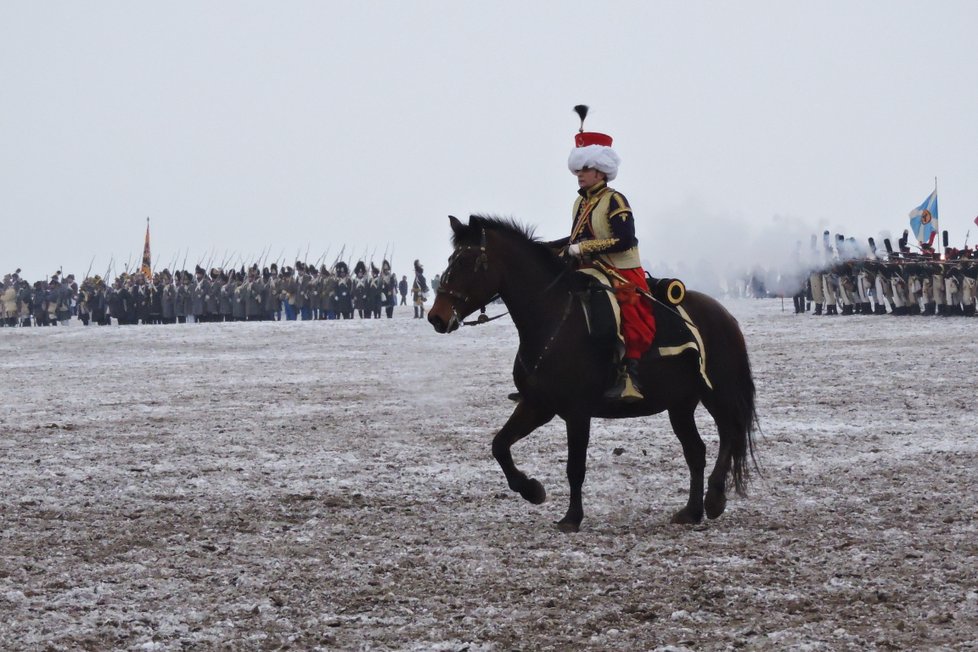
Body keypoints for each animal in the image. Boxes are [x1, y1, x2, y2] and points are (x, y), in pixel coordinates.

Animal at [426, 216, 756, 532]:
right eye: (450, 259)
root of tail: (724, 315)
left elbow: (575, 467)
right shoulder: (537, 405)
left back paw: (714, 499)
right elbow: (500, 446)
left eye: (465, 262)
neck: (551, 319)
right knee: (696, 451)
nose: (436, 317)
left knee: (729, 434)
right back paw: (692, 511)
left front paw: (571, 518)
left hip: (716, 392)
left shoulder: (577, 412)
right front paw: (532, 491)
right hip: (680, 404)